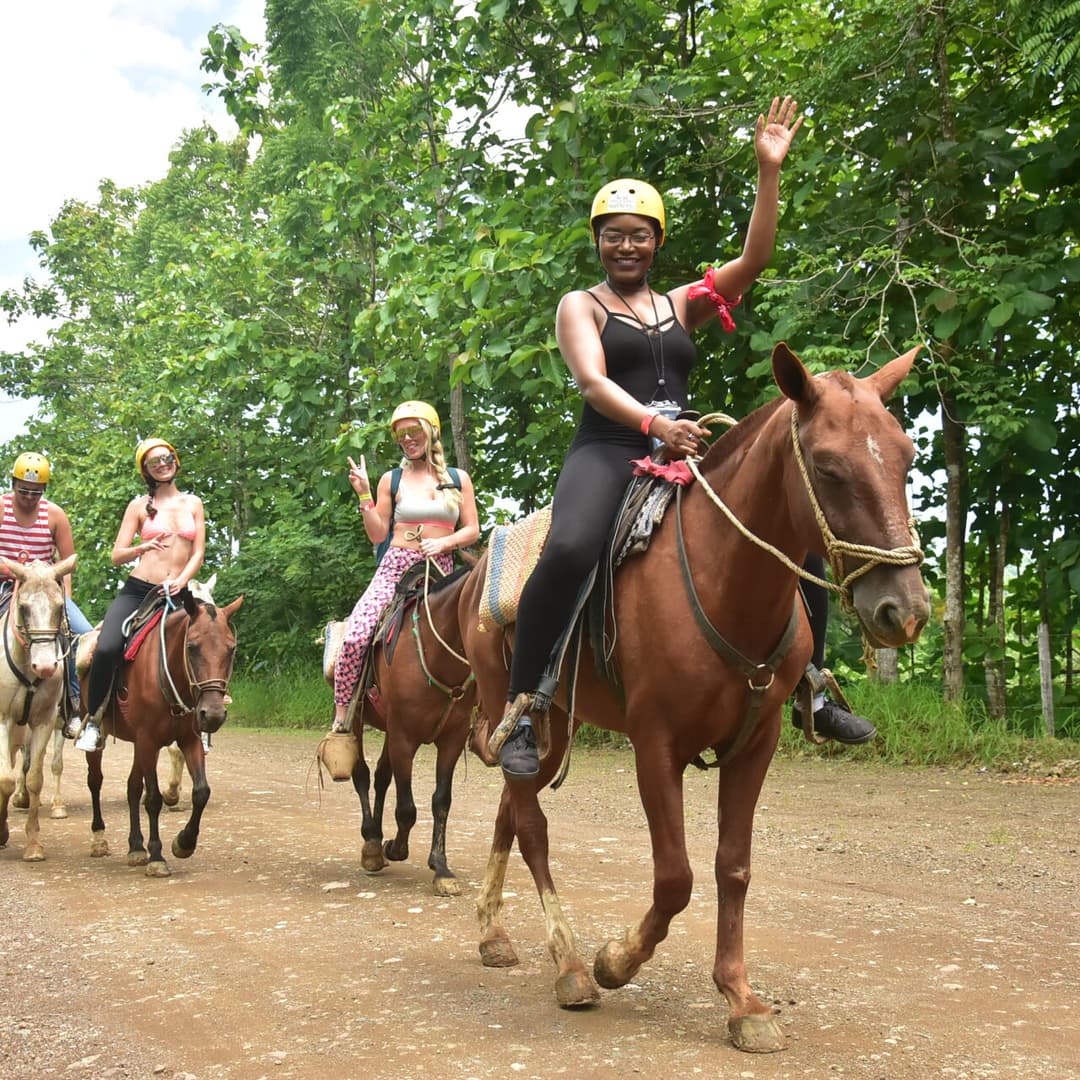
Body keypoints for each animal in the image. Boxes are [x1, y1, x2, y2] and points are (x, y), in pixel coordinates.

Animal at [0, 557, 77, 859]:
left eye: (58, 607)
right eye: (24, 607)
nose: (45, 666)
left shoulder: (44, 721)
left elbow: (34, 778)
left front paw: (33, 844)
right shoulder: (3, 720)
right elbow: (5, 779)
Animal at [80, 587, 243, 872]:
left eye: (231, 648)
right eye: (192, 647)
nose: (213, 715)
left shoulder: (188, 739)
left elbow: (201, 791)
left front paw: (184, 843)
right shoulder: (148, 740)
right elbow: (154, 798)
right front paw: (157, 856)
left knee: (133, 787)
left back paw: (135, 847)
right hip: (104, 735)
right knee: (95, 781)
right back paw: (99, 839)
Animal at [345, 561, 477, 898]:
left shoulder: (453, 738)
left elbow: (441, 801)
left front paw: (441, 868)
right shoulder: (404, 737)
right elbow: (406, 808)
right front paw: (395, 848)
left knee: (381, 776)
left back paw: (377, 839)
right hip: (358, 718)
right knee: (362, 775)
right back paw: (372, 843)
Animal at [455, 343, 928, 1054]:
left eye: (905, 457)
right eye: (827, 467)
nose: (906, 611)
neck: (720, 577)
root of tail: (482, 569)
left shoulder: (757, 743)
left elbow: (733, 867)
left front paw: (741, 1000)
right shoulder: (656, 743)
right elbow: (675, 878)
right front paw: (616, 960)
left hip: (550, 727)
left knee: (512, 814)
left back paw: (493, 931)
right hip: (511, 710)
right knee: (532, 826)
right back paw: (569, 966)